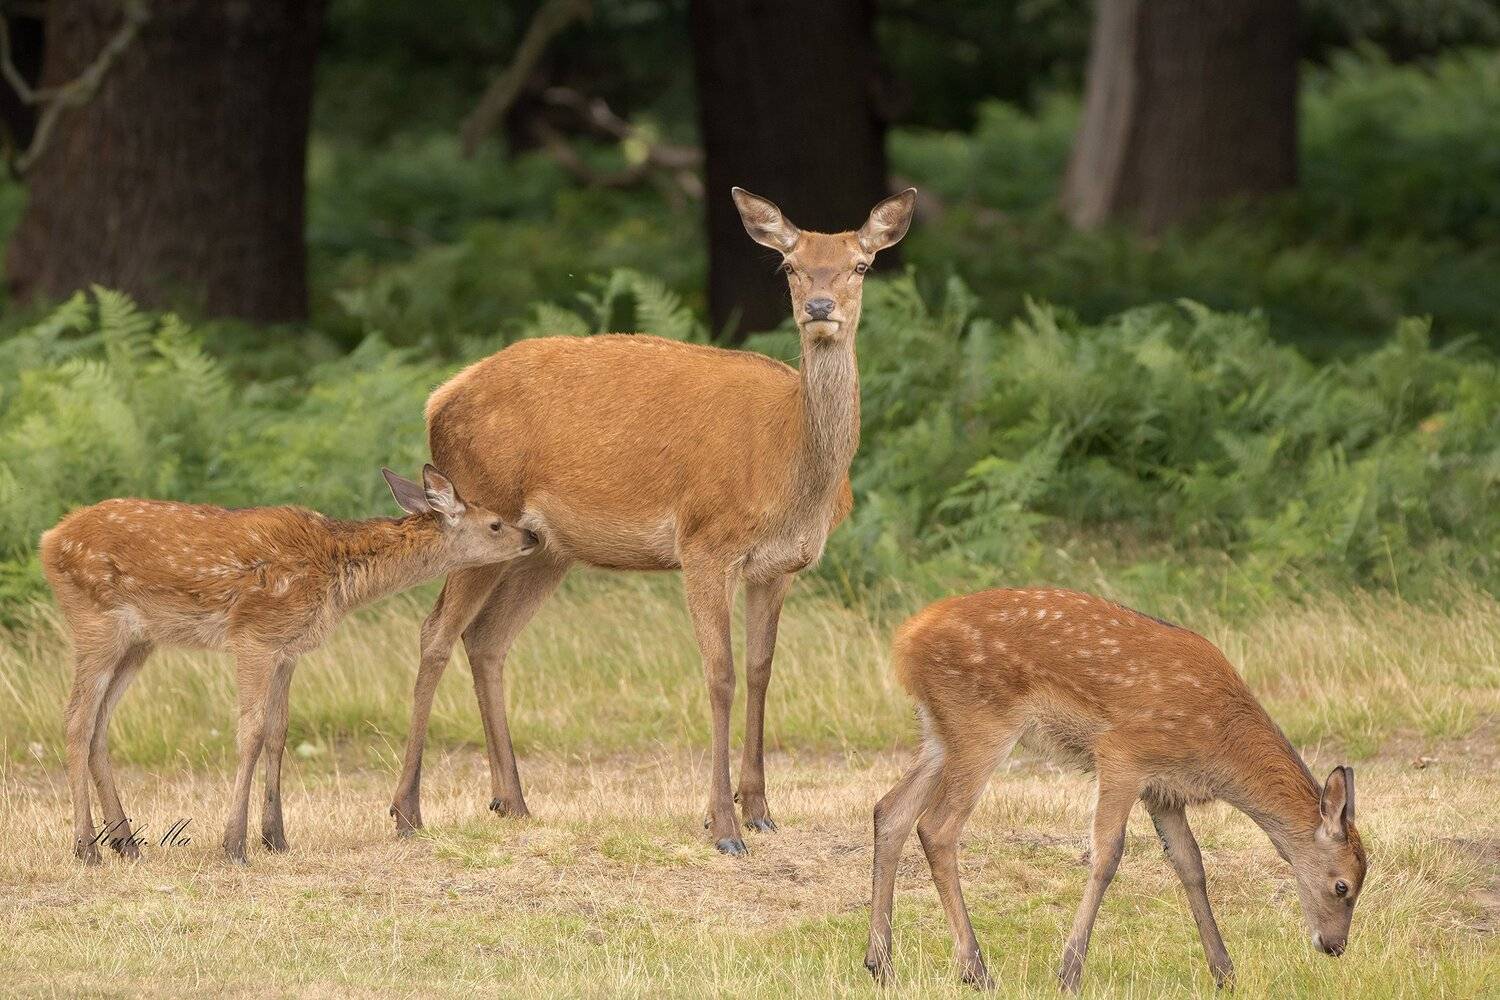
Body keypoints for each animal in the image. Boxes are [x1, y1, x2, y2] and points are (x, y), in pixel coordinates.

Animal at [39, 466, 538, 865]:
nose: (532, 536)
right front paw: (234, 845)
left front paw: (276, 838)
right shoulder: (254, 636)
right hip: (96, 623)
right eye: (496, 523)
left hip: (138, 642)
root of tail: (49, 541)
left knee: (100, 724)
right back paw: (86, 848)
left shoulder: (288, 649)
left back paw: (126, 844)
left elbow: (278, 730)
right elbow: (251, 731)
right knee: (77, 719)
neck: (337, 574)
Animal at [387, 186, 917, 855]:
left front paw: (761, 811)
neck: (792, 470)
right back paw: (407, 810)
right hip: (477, 510)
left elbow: (762, 670)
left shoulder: (781, 566)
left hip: (544, 547)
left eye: (861, 265)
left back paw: (512, 801)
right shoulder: (705, 544)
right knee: (434, 632)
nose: (820, 307)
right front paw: (722, 827)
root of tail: (436, 399)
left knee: (485, 638)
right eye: (790, 267)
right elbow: (720, 674)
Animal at [865, 587, 1369, 992]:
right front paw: (1069, 972)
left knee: (890, 810)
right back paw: (975, 970)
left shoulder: (1164, 791)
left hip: (939, 730)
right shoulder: (1123, 755)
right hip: (981, 721)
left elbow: (1192, 865)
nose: (1335, 945)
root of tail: (906, 639)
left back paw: (881, 963)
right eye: (1342, 885)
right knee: (937, 826)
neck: (1218, 743)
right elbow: (1107, 854)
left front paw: (1224, 972)